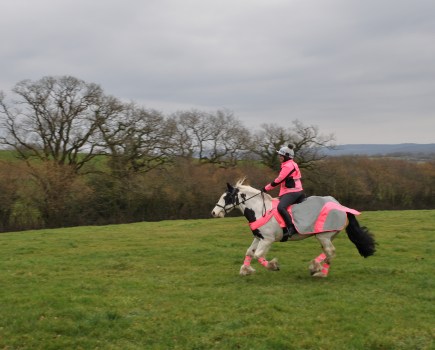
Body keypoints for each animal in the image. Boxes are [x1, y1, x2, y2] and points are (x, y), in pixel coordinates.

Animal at [209, 179, 376, 278]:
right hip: (326, 236)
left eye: (226, 197)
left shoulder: (267, 240)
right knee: (328, 252)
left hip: (323, 235)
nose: (214, 213)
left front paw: (273, 266)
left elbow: (258, 255)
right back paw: (316, 267)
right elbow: (249, 252)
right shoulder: (258, 237)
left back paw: (319, 272)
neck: (259, 209)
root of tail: (340, 206)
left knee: (330, 251)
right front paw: (245, 270)